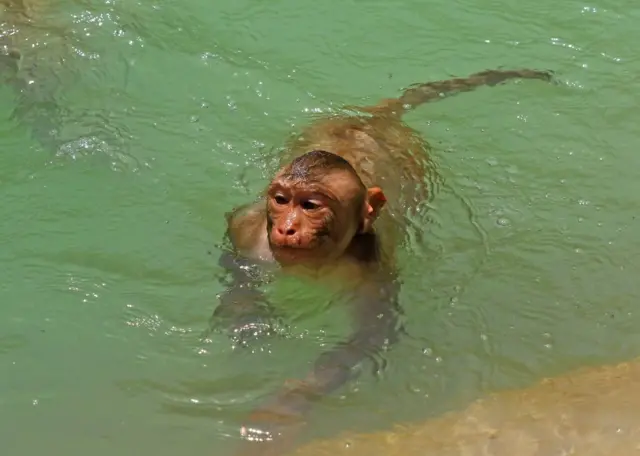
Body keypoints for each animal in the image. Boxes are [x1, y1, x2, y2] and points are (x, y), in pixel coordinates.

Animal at [212, 68, 554, 456]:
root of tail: (374, 120)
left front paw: (290, 403)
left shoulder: (372, 270)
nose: (286, 227)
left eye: (311, 206)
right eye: (282, 200)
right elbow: (236, 266)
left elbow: (371, 332)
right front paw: (248, 319)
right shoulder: (247, 230)